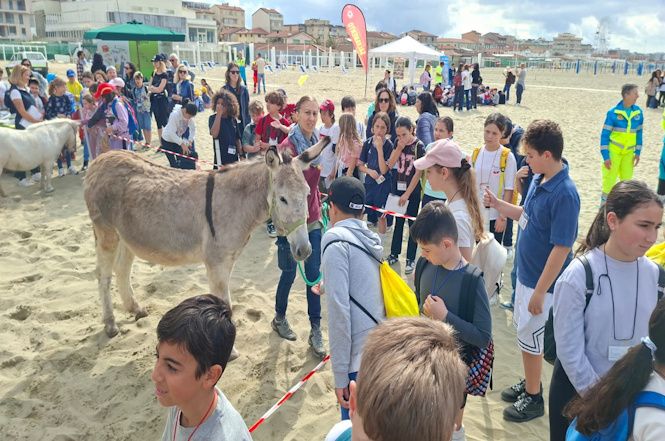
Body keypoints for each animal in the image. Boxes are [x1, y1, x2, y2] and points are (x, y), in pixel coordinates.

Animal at [83, 139, 328, 356]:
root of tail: (101, 159)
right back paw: (110, 324)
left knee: (122, 270)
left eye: (308, 194)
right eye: (283, 199)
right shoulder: (216, 263)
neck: (238, 204)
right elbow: (225, 304)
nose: (305, 251)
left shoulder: (227, 261)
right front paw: (230, 352)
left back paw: (135, 308)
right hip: (107, 233)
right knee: (103, 275)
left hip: (128, 236)